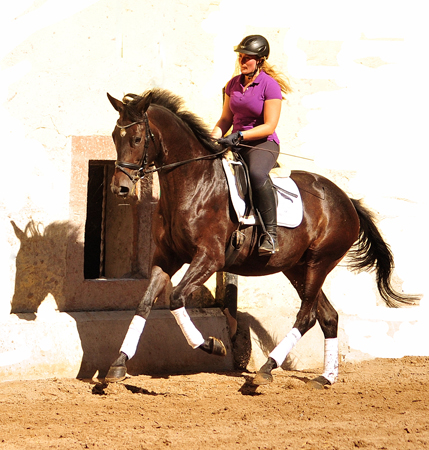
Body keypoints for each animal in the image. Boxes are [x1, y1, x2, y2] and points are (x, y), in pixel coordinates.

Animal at [103, 88, 414, 386]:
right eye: (115, 137)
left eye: (137, 139)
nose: (119, 188)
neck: (193, 184)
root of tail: (346, 200)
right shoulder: (166, 258)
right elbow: (144, 304)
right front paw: (118, 365)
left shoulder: (210, 258)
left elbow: (176, 297)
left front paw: (213, 345)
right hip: (297, 267)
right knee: (327, 316)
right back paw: (325, 377)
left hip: (320, 262)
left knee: (307, 316)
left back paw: (266, 370)